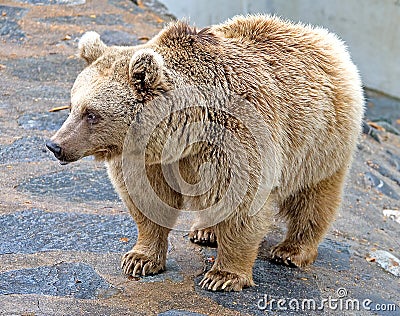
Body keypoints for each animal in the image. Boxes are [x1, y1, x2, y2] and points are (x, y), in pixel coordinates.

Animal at [47, 14, 366, 292]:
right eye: (72, 105)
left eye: (92, 114)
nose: (55, 145)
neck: (184, 134)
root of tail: (321, 38)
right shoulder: (151, 160)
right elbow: (148, 201)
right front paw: (139, 259)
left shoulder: (237, 140)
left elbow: (243, 205)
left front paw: (223, 276)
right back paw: (206, 231)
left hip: (319, 141)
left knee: (313, 197)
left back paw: (291, 250)